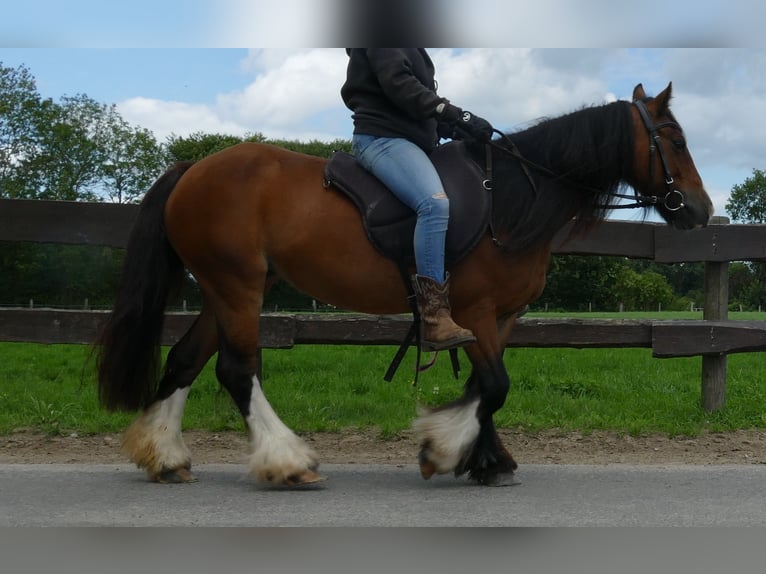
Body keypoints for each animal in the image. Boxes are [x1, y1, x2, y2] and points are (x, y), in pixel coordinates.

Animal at [96, 83, 712, 488]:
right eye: (675, 140)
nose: (701, 210)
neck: (513, 196)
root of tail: (193, 169)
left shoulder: (501, 316)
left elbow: (485, 387)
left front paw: (484, 459)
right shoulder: (475, 310)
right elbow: (495, 385)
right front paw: (445, 451)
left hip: (224, 290)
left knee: (184, 360)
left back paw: (166, 457)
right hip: (238, 286)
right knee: (236, 369)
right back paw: (287, 461)